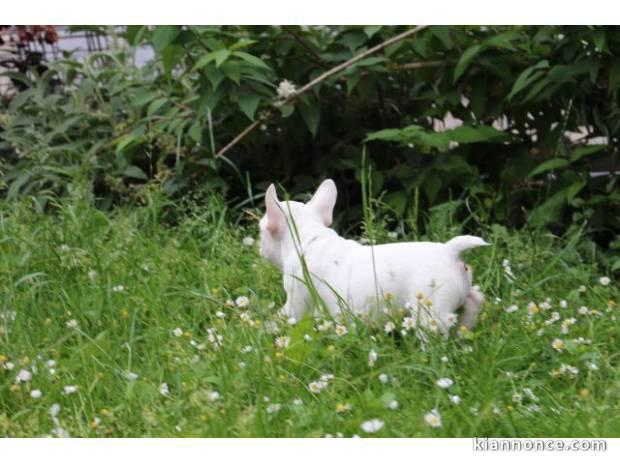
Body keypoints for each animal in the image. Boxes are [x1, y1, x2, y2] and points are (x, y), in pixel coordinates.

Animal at [258, 179, 490, 338]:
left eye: (261, 230)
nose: (260, 249)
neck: (309, 237)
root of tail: (450, 251)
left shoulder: (297, 297)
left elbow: (284, 315)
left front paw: (267, 328)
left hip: (431, 310)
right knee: (474, 300)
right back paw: (465, 331)